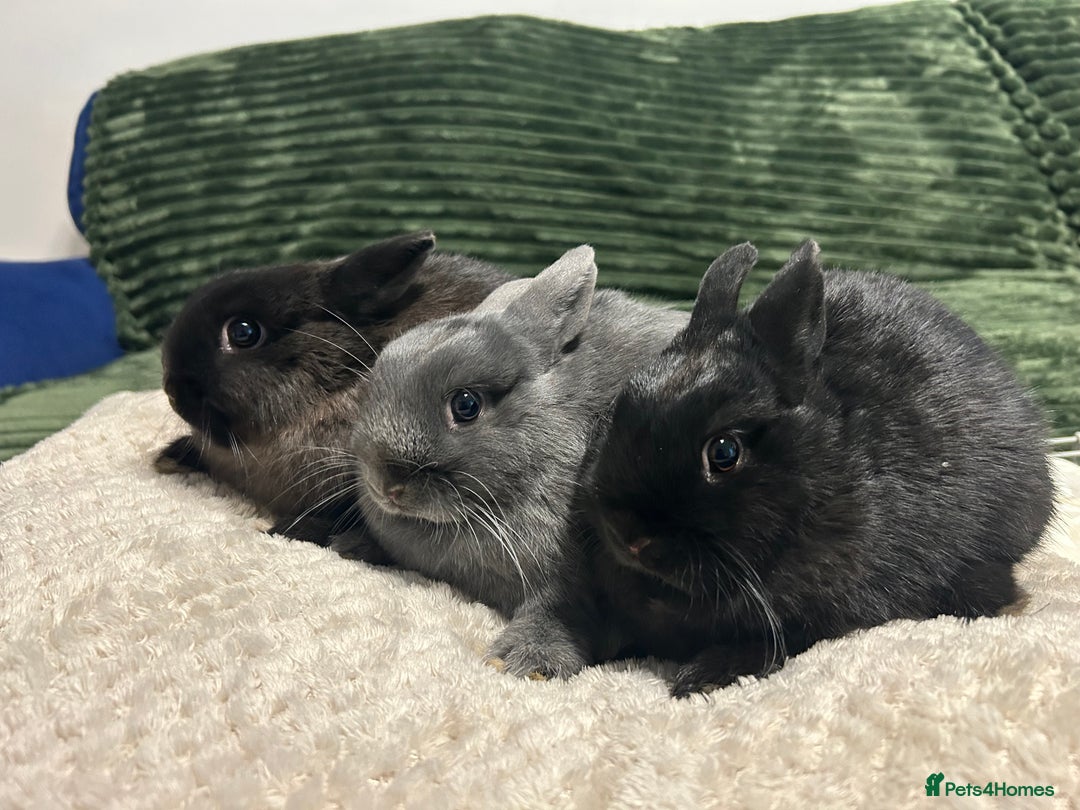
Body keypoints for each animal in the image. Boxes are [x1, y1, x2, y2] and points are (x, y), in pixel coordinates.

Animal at [336, 244, 690, 677]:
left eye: (466, 405)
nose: (385, 485)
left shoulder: (570, 578)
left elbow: (558, 612)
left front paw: (523, 661)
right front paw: (349, 544)